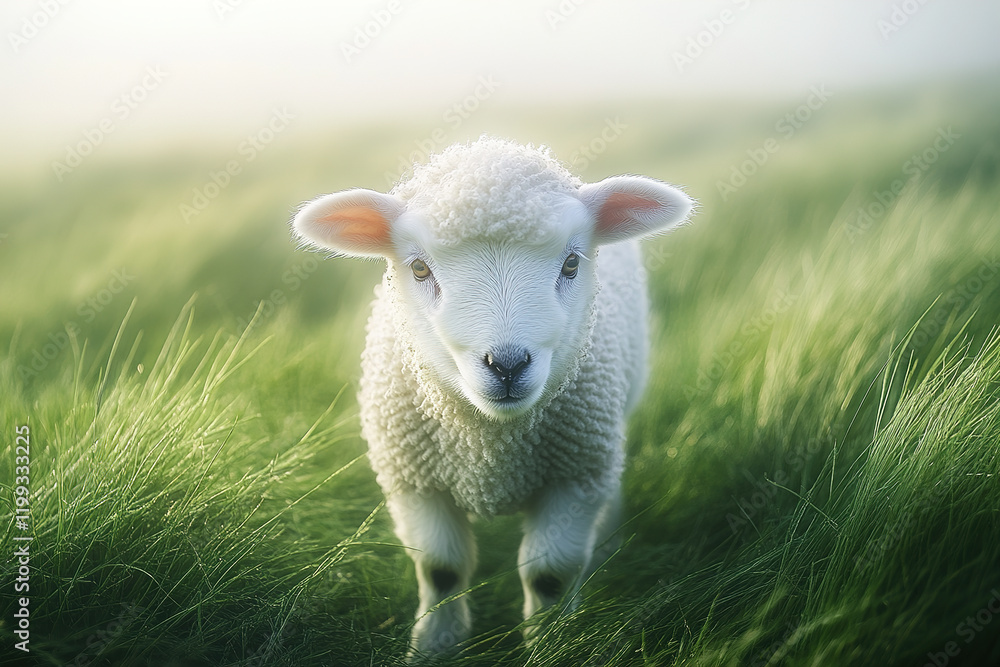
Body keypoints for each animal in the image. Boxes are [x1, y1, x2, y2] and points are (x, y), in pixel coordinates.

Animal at [292, 136, 693, 658]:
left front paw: (551, 643)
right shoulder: (415, 481)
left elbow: (549, 574)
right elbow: (440, 570)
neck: (491, 448)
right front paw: (434, 646)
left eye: (571, 263)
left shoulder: (574, 478)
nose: (506, 365)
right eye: (419, 267)